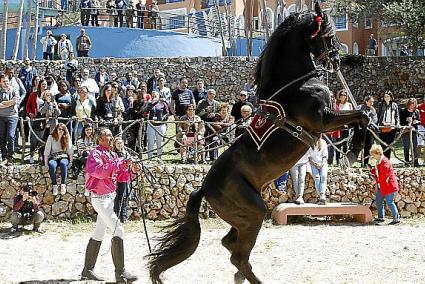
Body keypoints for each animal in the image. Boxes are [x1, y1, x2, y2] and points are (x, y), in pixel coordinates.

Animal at [147, 2, 370, 284]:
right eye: (328, 32)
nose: (337, 60)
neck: (298, 85)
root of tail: (204, 188)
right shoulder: (323, 121)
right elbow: (362, 115)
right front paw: (352, 153)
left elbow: (363, 118)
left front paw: (352, 152)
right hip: (253, 213)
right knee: (238, 256)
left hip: (243, 218)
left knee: (230, 245)